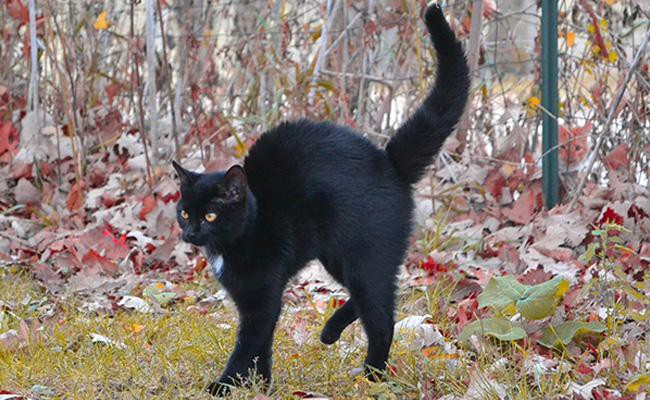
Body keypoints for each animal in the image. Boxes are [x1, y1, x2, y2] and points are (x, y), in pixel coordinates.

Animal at [172, 4, 466, 396]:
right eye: (184, 212)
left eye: (210, 217)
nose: (190, 234)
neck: (247, 226)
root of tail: (388, 163)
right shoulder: (259, 297)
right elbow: (263, 346)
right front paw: (263, 385)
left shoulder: (262, 297)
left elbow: (248, 343)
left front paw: (225, 385)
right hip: (340, 258)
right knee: (381, 295)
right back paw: (331, 332)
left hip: (364, 256)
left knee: (382, 316)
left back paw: (372, 375)